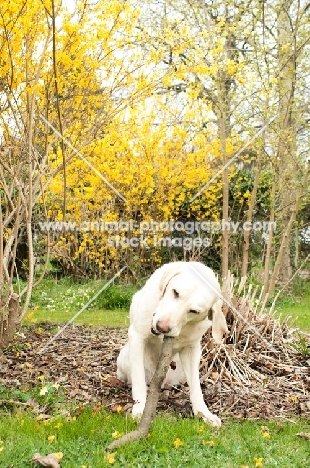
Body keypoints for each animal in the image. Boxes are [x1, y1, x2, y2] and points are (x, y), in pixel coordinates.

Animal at [116, 262, 228, 426]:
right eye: (175, 292)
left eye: (193, 311)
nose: (162, 327)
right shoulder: (137, 336)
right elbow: (138, 379)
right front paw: (140, 409)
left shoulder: (192, 350)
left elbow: (196, 387)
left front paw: (204, 413)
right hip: (125, 358)